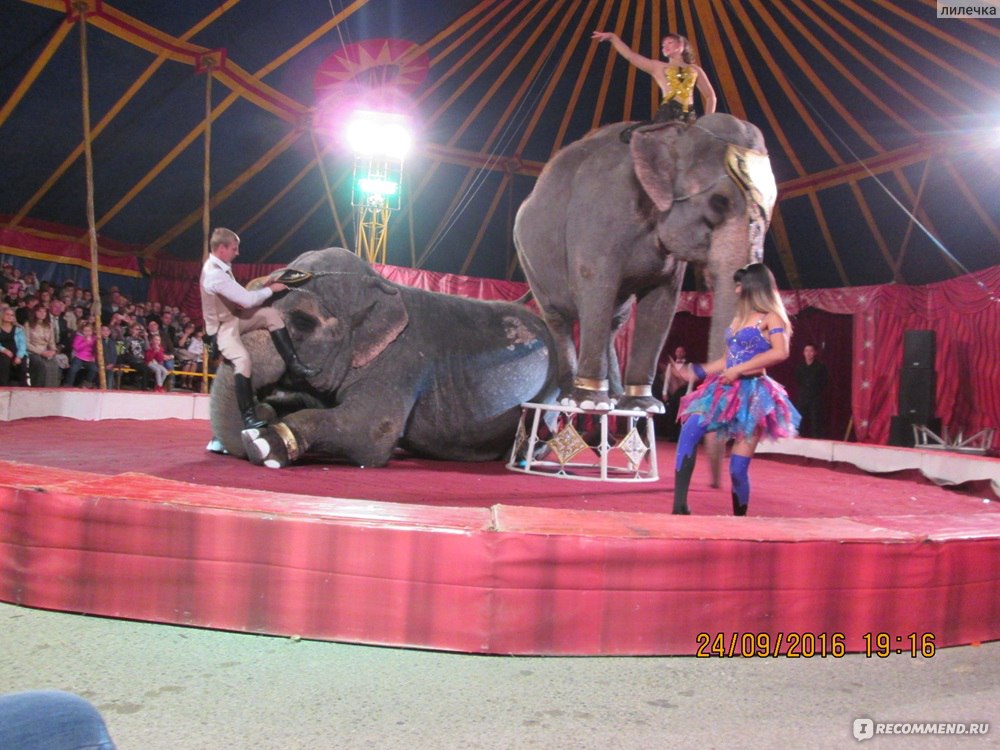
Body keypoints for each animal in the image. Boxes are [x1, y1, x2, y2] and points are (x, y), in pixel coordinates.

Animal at [208, 250, 560, 468]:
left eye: (302, 323)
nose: (259, 413)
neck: (383, 287)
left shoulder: (401, 363)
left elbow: (368, 432)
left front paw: (262, 443)